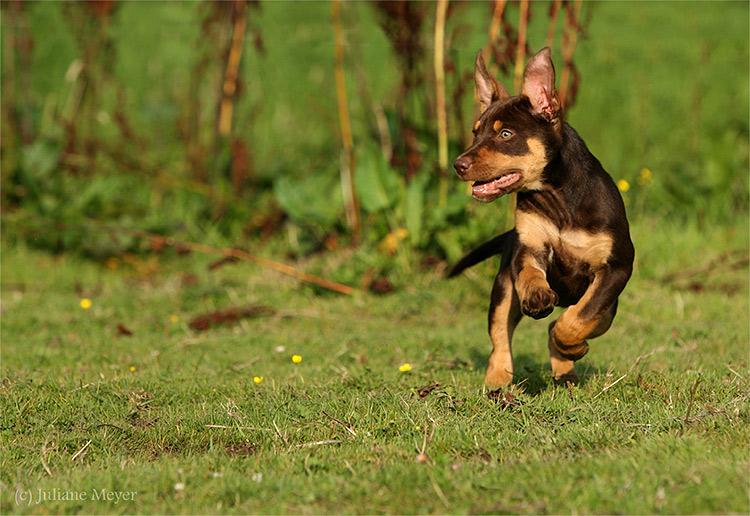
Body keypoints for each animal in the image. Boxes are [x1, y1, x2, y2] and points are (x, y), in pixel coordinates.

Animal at [450, 48, 636, 390]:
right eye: (475, 132)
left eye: (505, 134)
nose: (458, 165)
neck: (558, 199)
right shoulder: (529, 247)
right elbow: (530, 274)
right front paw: (538, 296)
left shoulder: (615, 269)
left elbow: (580, 316)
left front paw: (570, 344)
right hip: (502, 290)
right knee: (500, 335)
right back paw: (498, 379)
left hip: (610, 309)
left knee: (572, 319)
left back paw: (566, 361)